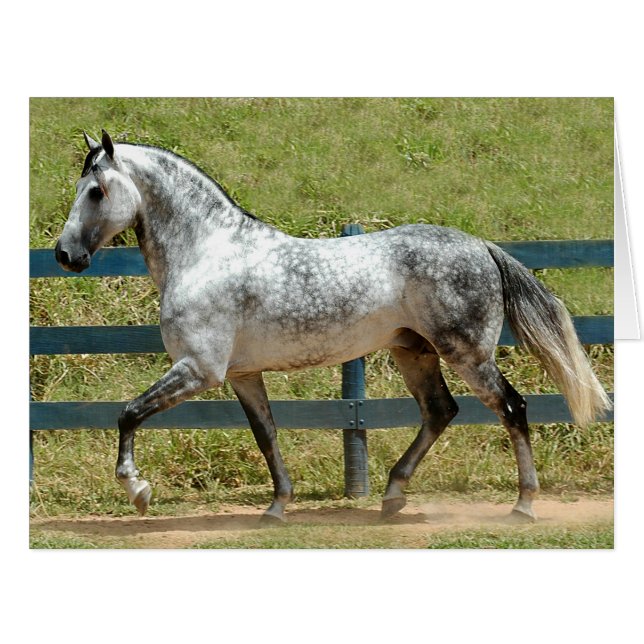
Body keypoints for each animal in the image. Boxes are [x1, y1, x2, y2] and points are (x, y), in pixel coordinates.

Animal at [54, 129, 611, 523]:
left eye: (97, 191)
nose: (65, 254)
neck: (208, 253)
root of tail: (480, 245)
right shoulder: (241, 375)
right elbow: (266, 434)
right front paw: (277, 507)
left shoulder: (199, 370)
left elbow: (128, 414)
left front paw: (138, 490)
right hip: (414, 352)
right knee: (440, 411)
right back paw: (392, 496)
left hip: (468, 353)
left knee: (512, 408)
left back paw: (523, 505)